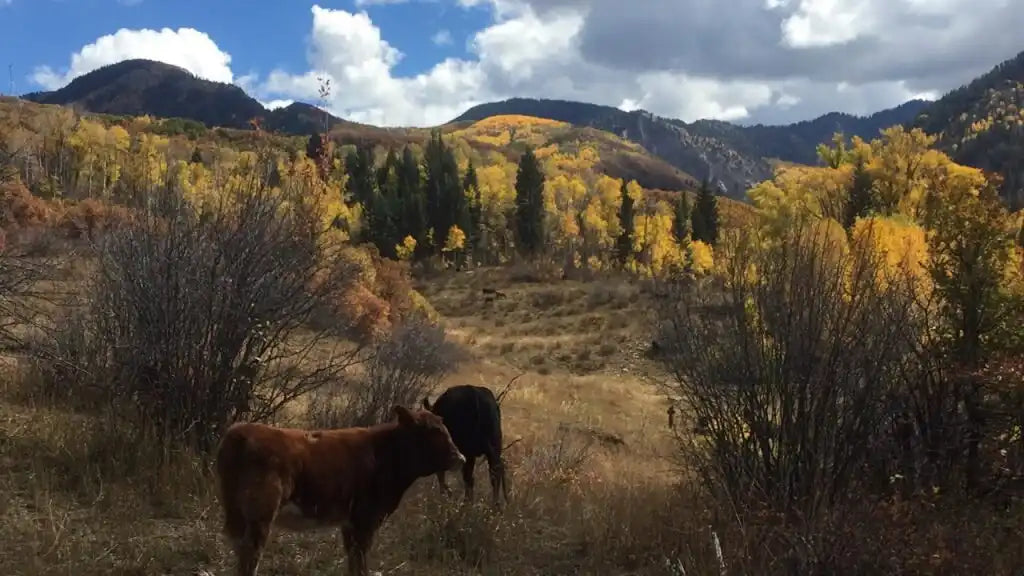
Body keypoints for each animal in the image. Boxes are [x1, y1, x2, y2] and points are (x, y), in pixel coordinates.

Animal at [214, 405, 466, 576]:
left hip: (236, 513)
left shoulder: (350, 522)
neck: (384, 453)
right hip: (261, 512)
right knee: (251, 553)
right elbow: (360, 560)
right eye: (432, 431)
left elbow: (354, 561)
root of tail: (240, 432)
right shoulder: (365, 519)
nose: (460, 458)